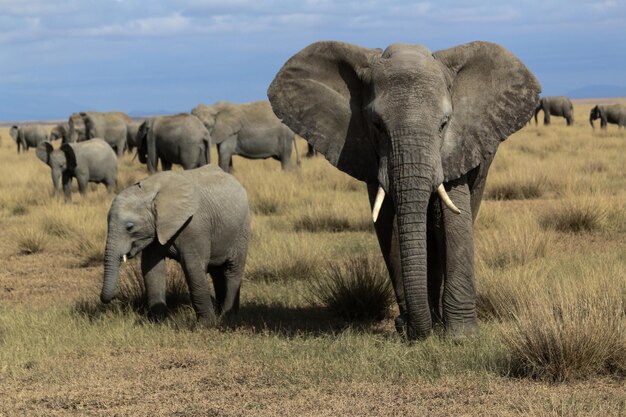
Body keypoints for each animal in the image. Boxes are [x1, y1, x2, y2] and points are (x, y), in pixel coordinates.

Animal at [100, 163, 249, 324]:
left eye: (130, 227)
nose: (114, 297)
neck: (149, 191)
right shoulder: (156, 229)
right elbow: (151, 269)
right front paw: (158, 322)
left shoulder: (193, 227)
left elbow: (193, 268)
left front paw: (206, 324)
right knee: (217, 272)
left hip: (242, 230)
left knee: (232, 269)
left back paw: (228, 317)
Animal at [266, 40, 540, 342]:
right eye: (376, 125)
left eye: (444, 124)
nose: (409, 327)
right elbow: (389, 223)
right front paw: (412, 327)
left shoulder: (458, 145)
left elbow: (453, 221)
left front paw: (462, 337)